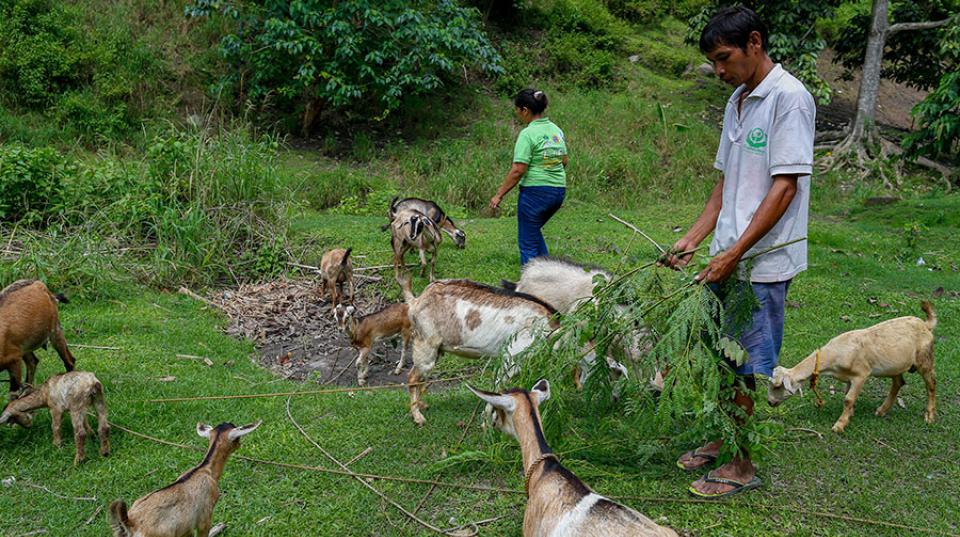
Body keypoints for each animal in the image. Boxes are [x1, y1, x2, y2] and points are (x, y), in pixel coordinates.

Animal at [109, 420, 260, 532]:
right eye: (238, 436)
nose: (240, 444)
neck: (206, 470)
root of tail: (130, 523)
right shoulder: (205, 515)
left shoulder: (186, 527)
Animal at [768, 300, 940, 434]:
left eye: (777, 387)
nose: (770, 402)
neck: (835, 355)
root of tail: (925, 325)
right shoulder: (848, 378)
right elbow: (847, 395)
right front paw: (849, 415)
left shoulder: (861, 375)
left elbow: (848, 399)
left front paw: (840, 425)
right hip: (895, 365)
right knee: (898, 383)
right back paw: (881, 410)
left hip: (925, 359)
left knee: (931, 384)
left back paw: (930, 416)